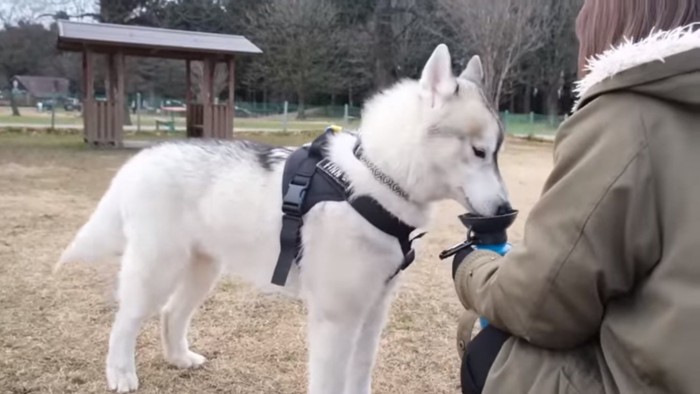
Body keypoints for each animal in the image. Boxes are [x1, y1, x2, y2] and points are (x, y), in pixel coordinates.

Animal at [56, 42, 508, 390]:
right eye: (479, 151)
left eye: (496, 152)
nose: (506, 210)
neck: (378, 179)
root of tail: (140, 159)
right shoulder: (336, 320)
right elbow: (330, 384)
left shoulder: (373, 314)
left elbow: (360, 377)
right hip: (156, 271)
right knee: (125, 321)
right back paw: (120, 375)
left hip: (203, 269)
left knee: (171, 314)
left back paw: (180, 358)